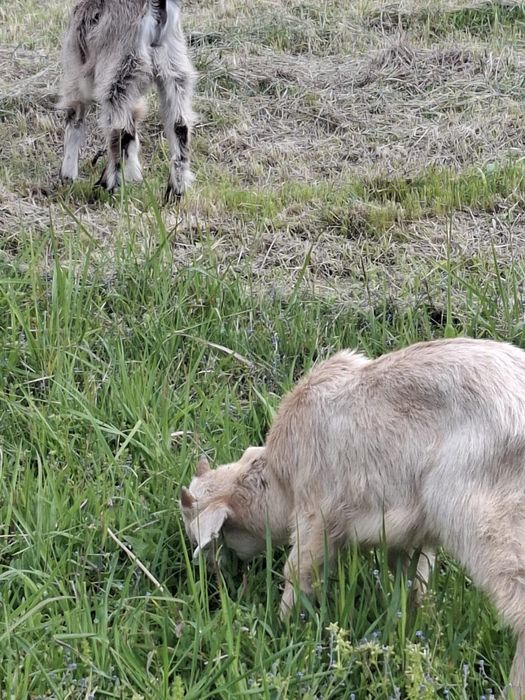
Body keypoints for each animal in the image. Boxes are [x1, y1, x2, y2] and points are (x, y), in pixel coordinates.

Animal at [58, 0, 196, 201]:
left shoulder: (77, 72)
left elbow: (75, 115)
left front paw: (67, 176)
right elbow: (134, 124)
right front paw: (134, 176)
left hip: (121, 67)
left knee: (118, 126)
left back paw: (108, 186)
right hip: (174, 66)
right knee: (179, 125)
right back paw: (175, 192)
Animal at [180, 337, 525, 698]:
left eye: (205, 539)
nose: (213, 577)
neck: (278, 480)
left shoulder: (315, 513)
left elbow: (297, 571)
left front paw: (282, 628)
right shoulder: (411, 535)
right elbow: (416, 581)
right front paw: (423, 626)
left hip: (488, 522)